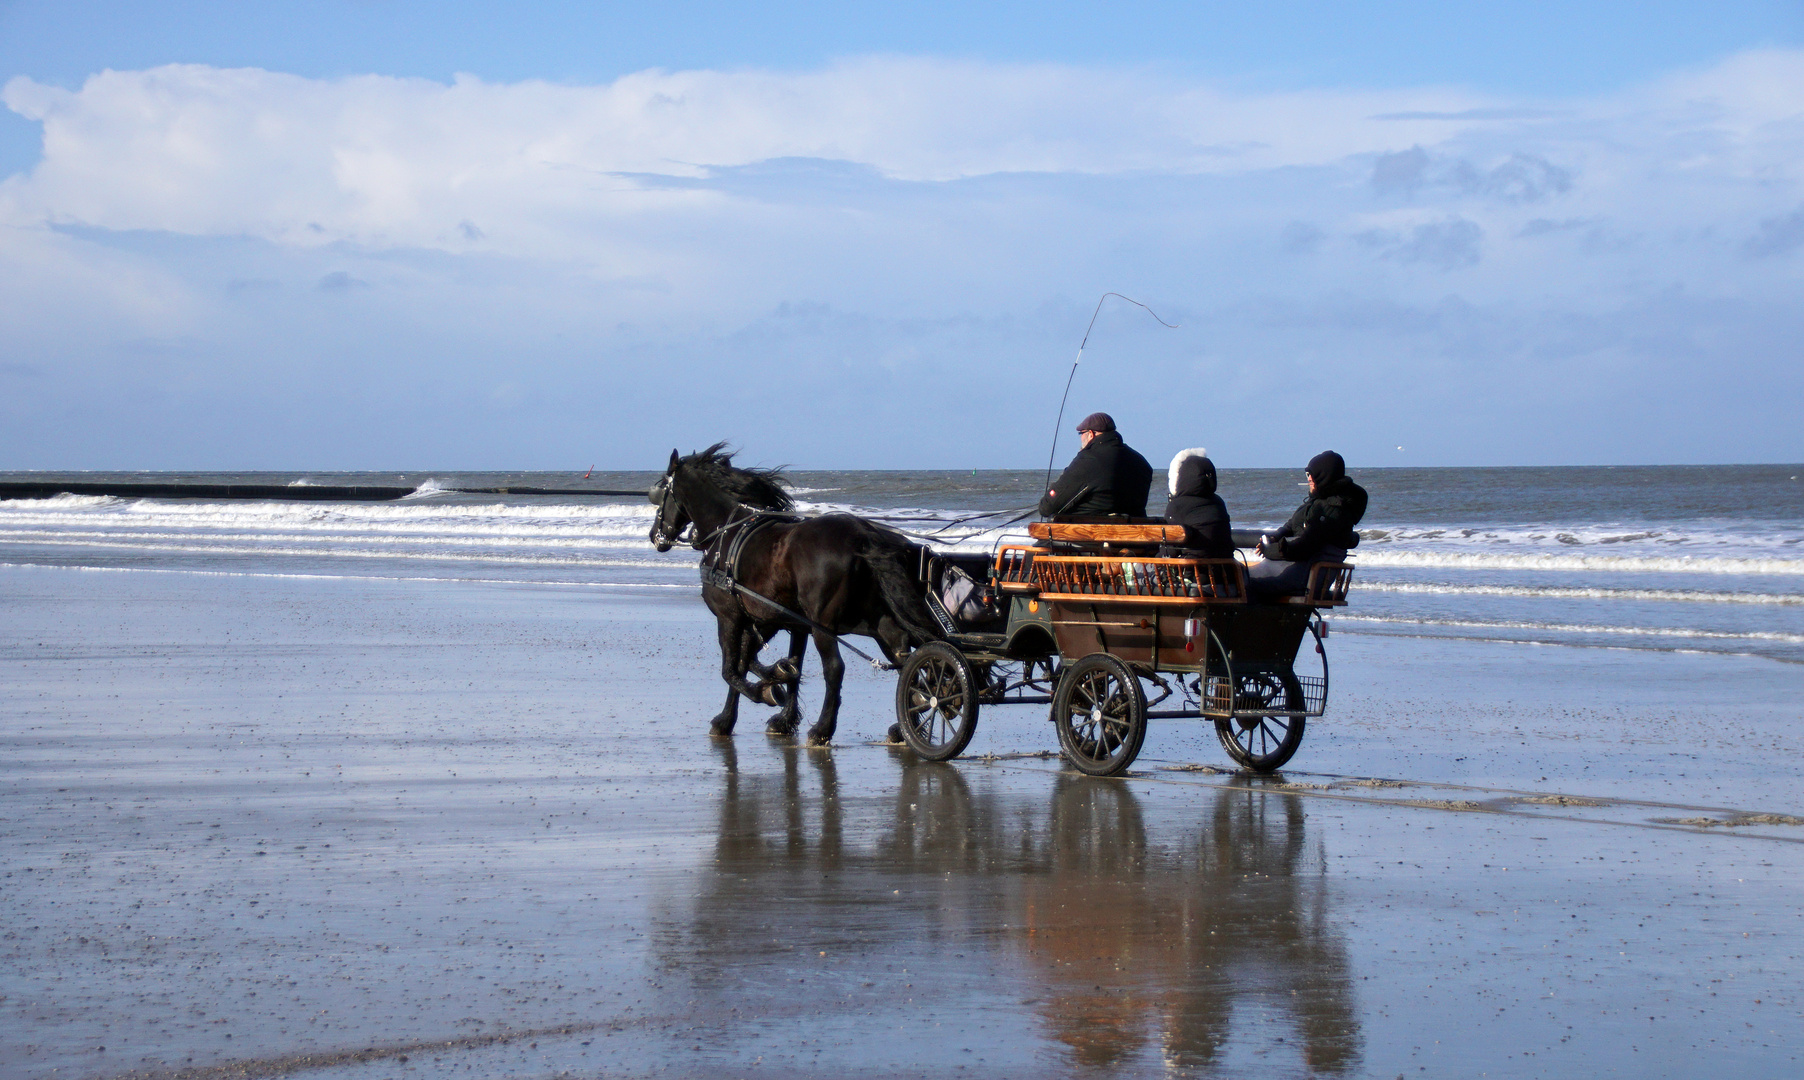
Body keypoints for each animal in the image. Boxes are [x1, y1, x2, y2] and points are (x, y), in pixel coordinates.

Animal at [660, 445, 945, 742]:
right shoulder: (780, 621)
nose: (656, 536)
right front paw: (779, 701)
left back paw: (822, 729)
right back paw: (906, 722)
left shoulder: (731, 617)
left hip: (824, 626)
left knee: (836, 669)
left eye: (660, 491)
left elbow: (732, 669)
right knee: (905, 656)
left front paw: (758, 696)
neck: (728, 533)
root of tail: (863, 535)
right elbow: (768, 664)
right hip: (876, 622)